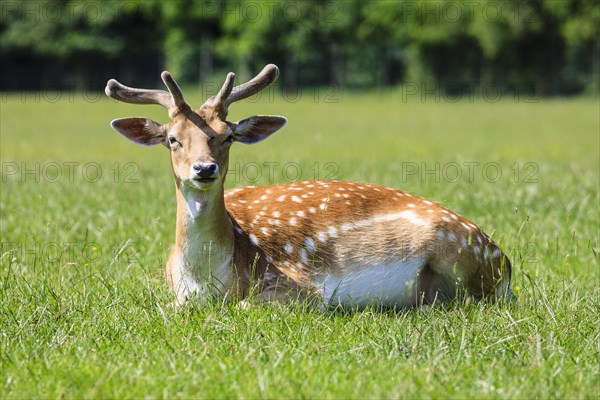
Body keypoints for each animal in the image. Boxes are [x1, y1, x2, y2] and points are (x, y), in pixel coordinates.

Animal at [106, 63, 510, 310]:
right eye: (172, 138)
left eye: (228, 136)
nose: (204, 168)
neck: (205, 279)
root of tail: (506, 262)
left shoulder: (300, 286)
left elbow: (246, 303)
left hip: (458, 253)